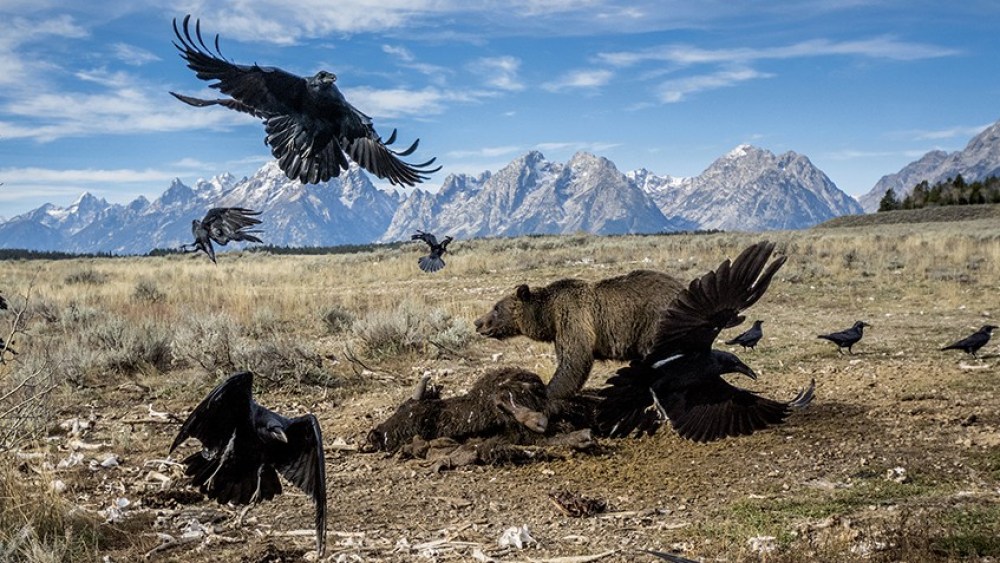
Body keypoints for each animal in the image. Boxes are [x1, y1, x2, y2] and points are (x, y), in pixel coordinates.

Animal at [474, 269, 684, 402]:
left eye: (496, 308)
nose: (478, 323)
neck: (547, 315)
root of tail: (681, 287)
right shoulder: (559, 330)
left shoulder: (572, 316)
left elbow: (575, 358)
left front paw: (546, 391)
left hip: (654, 322)